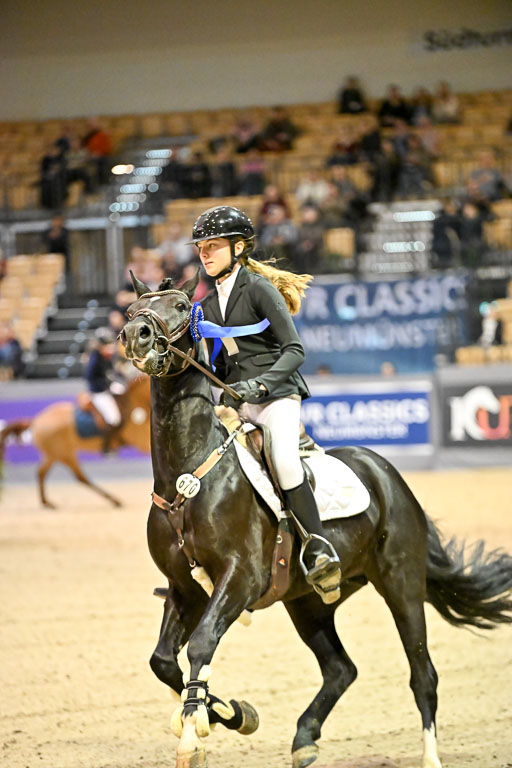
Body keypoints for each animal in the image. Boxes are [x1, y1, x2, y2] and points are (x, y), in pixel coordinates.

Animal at [0, 374, 150, 508]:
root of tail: (36, 420)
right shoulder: (142, 442)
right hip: (64, 454)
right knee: (80, 477)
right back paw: (114, 500)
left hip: (53, 455)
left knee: (42, 472)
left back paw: (47, 503)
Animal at [120, 270, 512, 768]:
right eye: (133, 310)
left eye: (179, 306)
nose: (136, 335)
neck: (188, 477)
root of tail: (386, 473)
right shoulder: (185, 588)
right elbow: (163, 660)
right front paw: (232, 712)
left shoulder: (240, 578)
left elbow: (203, 642)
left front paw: (194, 731)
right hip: (308, 602)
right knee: (341, 668)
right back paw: (305, 738)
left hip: (401, 584)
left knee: (422, 674)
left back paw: (429, 757)